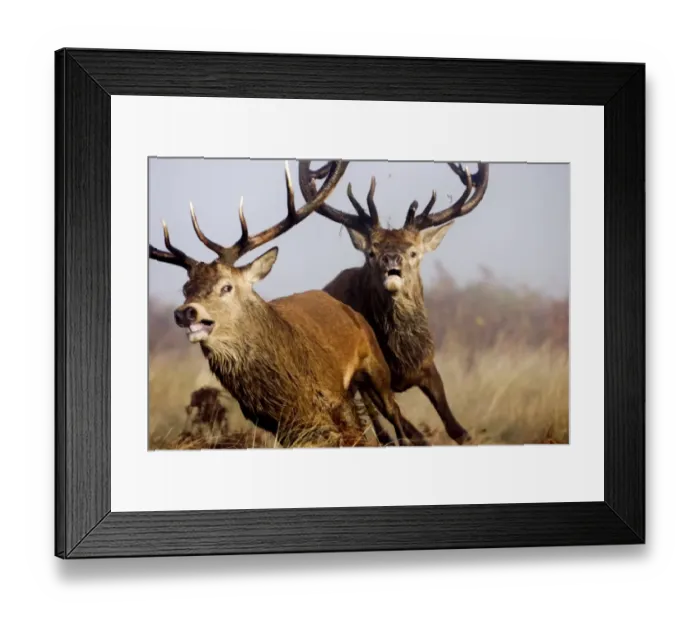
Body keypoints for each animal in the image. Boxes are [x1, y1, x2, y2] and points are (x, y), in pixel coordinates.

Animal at [149, 160, 419, 448]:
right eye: (186, 289)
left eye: (226, 286)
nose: (185, 312)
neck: (289, 392)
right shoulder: (279, 426)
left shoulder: (336, 398)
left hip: (376, 364)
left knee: (394, 414)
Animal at [298, 160, 490, 446]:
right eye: (371, 252)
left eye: (413, 252)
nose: (391, 259)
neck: (401, 359)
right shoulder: (370, 378)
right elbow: (410, 431)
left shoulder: (427, 363)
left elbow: (457, 429)